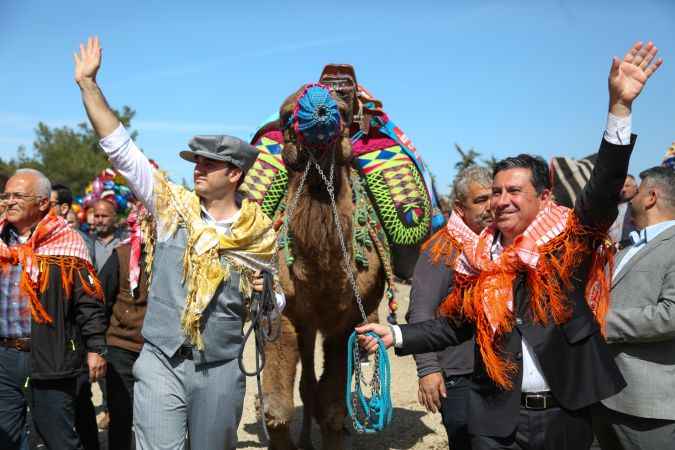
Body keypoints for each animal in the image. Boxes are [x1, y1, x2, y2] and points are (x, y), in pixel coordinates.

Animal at [266, 85, 390, 450]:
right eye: (285, 116)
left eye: (345, 111)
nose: (322, 111)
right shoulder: (285, 313)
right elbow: (277, 411)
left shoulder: (347, 322)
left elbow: (334, 407)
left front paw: (335, 427)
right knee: (307, 383)